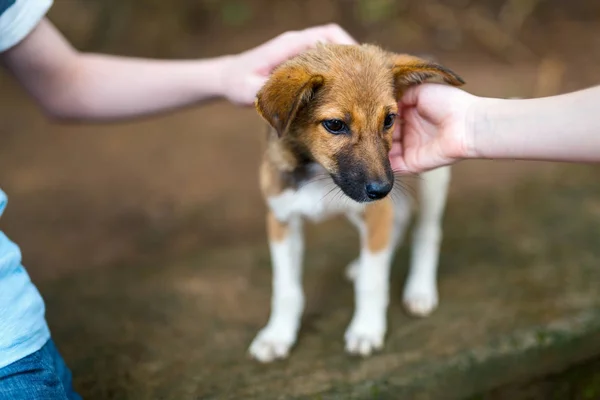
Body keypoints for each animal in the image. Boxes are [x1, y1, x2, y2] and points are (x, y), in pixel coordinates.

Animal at [248, 43, 464, 362]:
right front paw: (277, 335)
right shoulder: (281, 218)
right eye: (335, 125)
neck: (320, 173)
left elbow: (372, 282)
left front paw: (366, 330)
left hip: (432, 181)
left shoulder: (374, 210)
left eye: (389, 119)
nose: (382, 189)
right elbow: (286, 289)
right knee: (398, 219)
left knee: (427, 231)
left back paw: (420, 289)